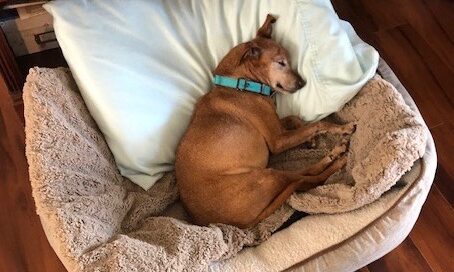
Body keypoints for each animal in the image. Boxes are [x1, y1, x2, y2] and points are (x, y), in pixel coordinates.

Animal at [175, 13, 354, 228]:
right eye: (281, 62)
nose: (302, 83)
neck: (241, 84)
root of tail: (238, 225)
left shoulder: (276, 126)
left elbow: (295, 119)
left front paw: (310, 139)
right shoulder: (277, 141)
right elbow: (317, 124)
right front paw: (341, 128)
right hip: (268, 175)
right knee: (307, 178)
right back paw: (336, 158)